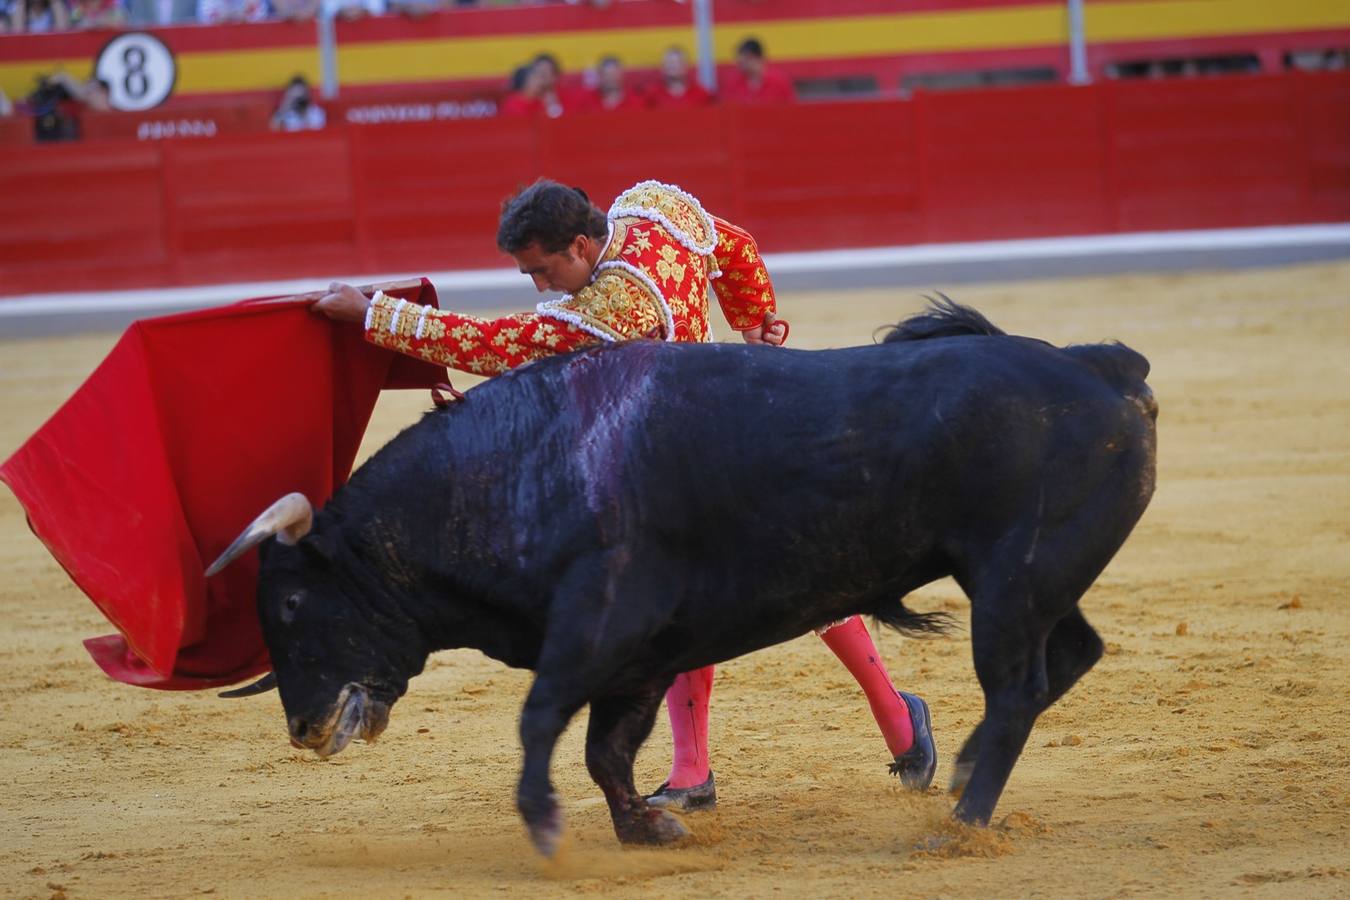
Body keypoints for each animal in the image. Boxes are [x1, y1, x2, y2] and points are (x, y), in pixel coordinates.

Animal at [205, 299, 1155, 858]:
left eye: (292, 602)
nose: (303, 728)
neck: (515, 469)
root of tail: (1102, 366)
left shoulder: (599, 624)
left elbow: (542, 720)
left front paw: (542, 822)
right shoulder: (640, 655)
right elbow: (607, 749)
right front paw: (646, 824)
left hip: (1011, 583)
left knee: (1018, 689)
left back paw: (961, 825)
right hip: (1035, 580)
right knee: (1069, 657)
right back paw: (955, 772)